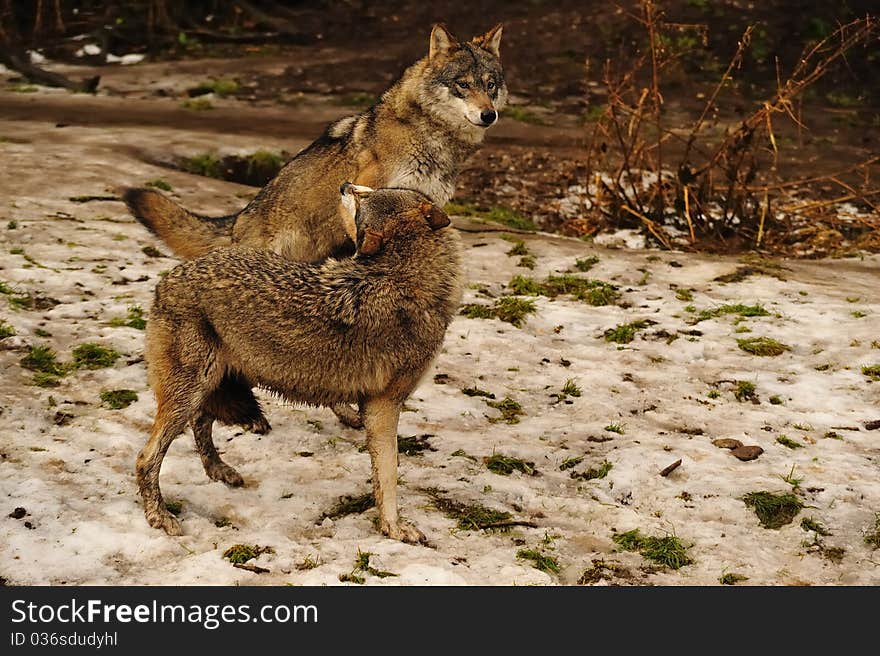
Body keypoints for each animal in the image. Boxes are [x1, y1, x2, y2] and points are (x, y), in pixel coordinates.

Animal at [136, 186, 460, 544]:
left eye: (363, 198)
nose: (345, 186)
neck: (405, 271)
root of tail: (170, 278)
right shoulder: (383, 405)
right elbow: (389, 474)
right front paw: (394, 527)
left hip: (217, 380)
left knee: (201, 422)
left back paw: (219, 470)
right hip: (192, 391)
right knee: (146, 458)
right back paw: (159, 516)